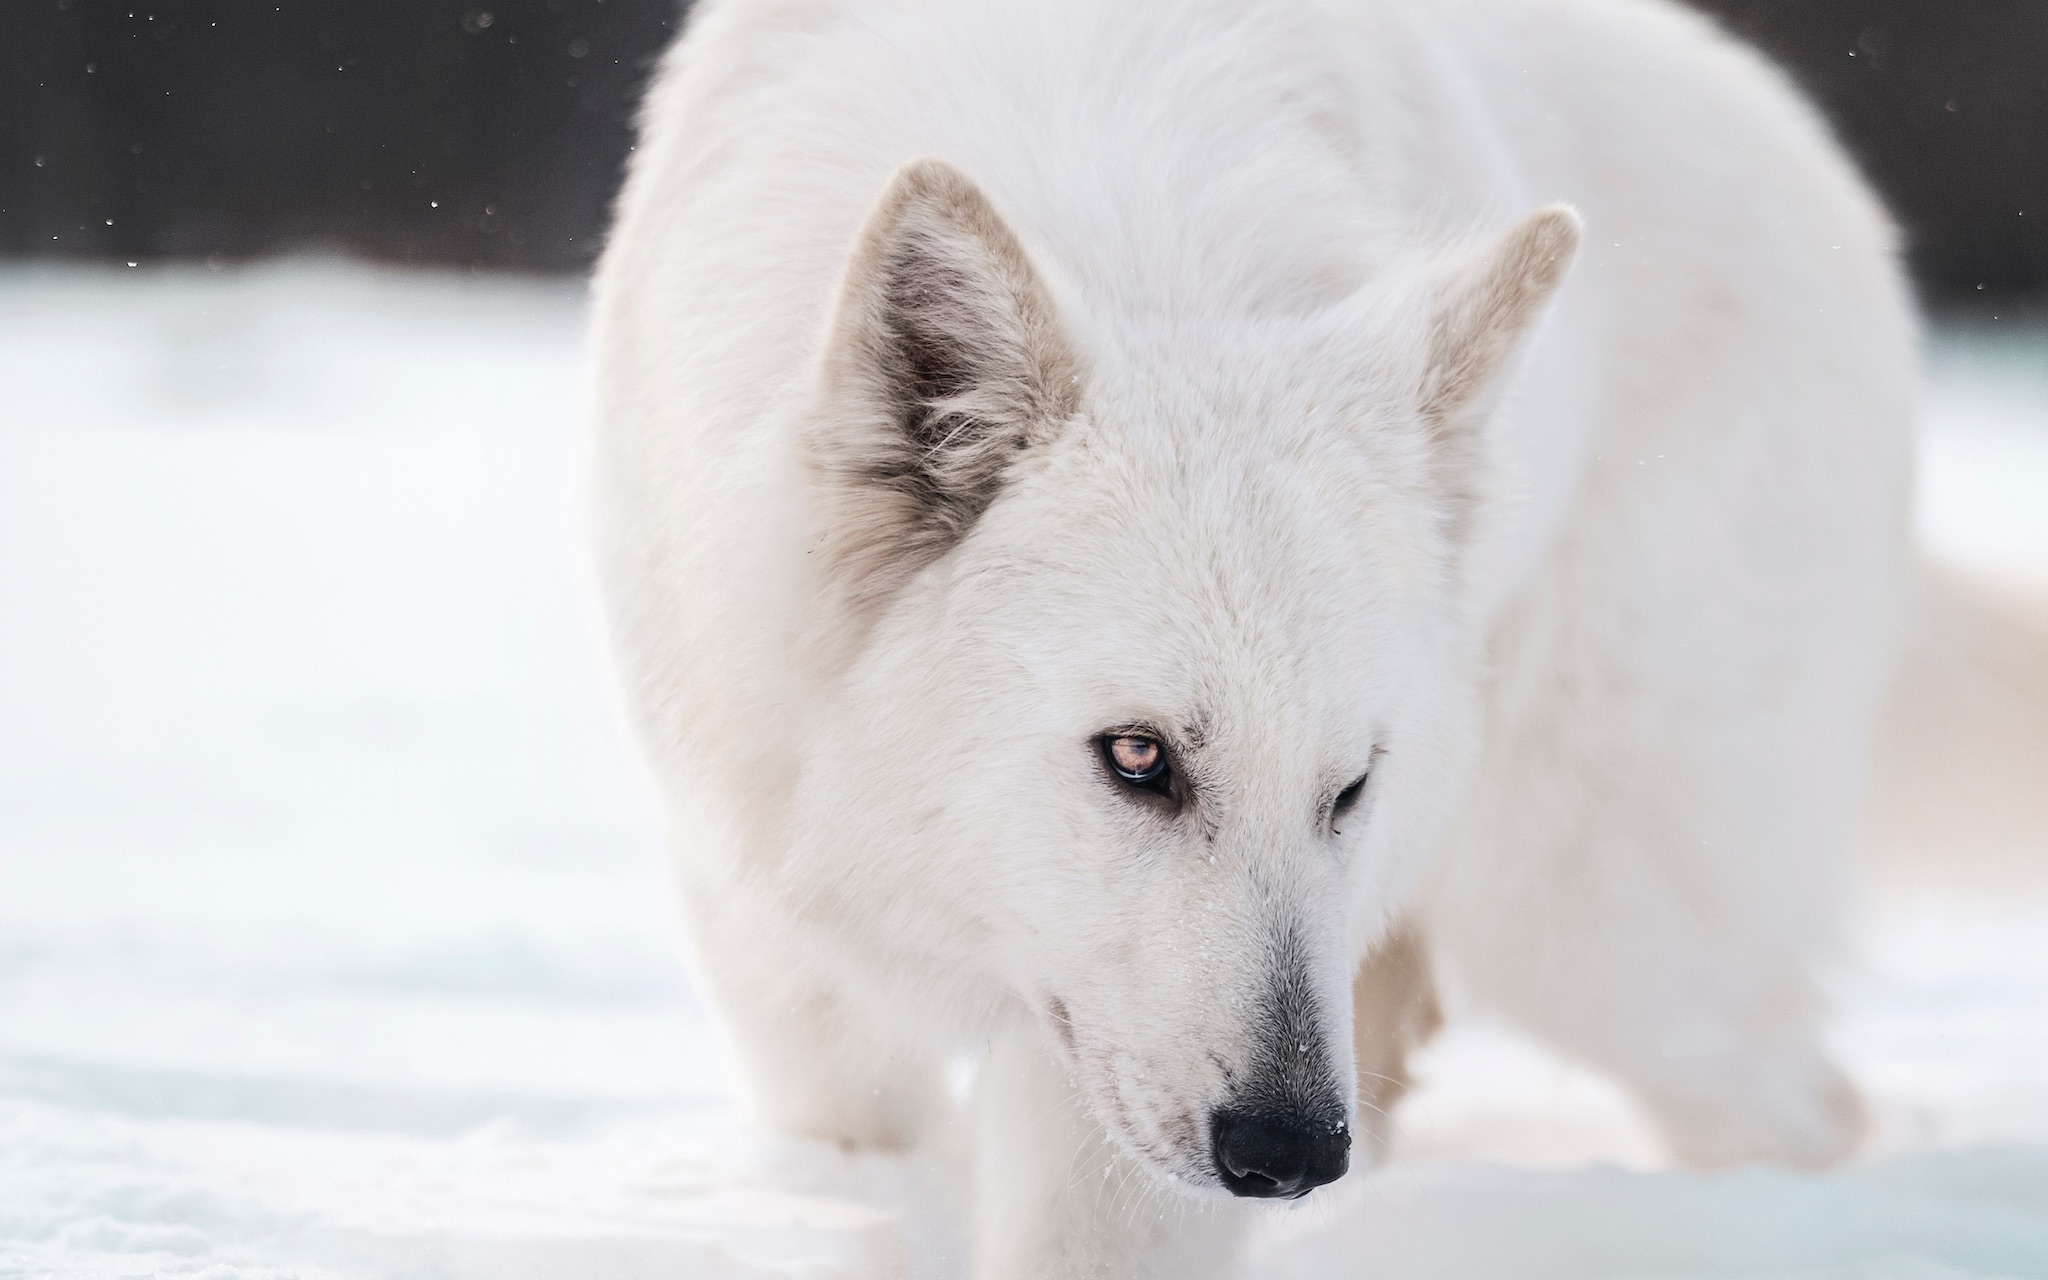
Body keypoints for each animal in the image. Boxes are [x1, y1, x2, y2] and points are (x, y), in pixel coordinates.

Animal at [589, 2, 1916, 1269]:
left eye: (1348, 784)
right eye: (1136, 756)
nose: (1289, 1152)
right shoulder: (782, 950)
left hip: (1602, 943)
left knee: (1809, 1109)